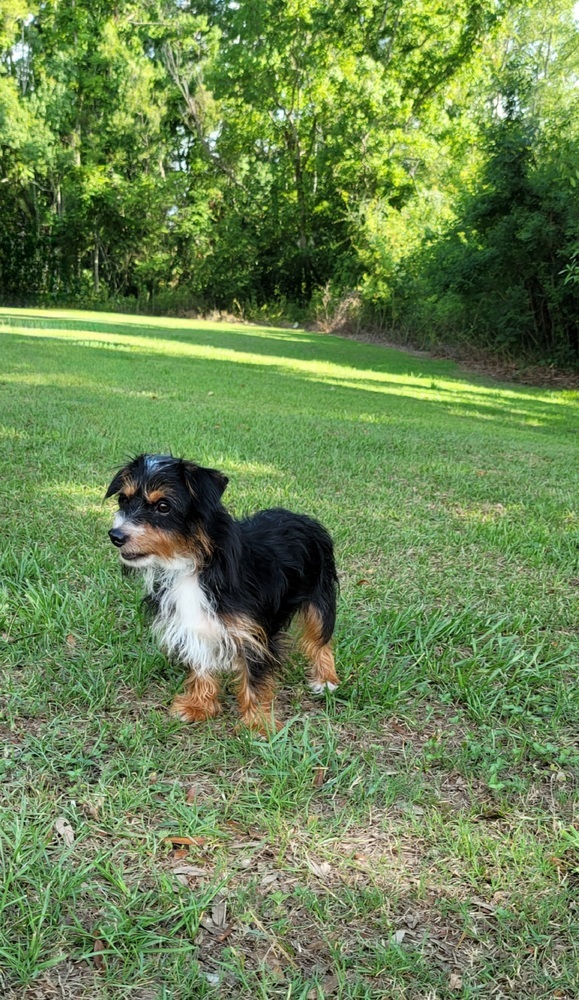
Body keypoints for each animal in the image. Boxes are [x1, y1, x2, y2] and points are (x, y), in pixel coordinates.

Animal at [107, 458, 340, 732]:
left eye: (163, 506)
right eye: (123, 500)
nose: (116, 536)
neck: (194, 563)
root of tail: (303, 518)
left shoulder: (255, 634)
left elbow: (255, 678)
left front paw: (258, 723)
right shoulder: (193, 623)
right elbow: (200, 663)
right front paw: (199, 705)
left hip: (320, 597)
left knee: (320, 640)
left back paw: (326, 679)